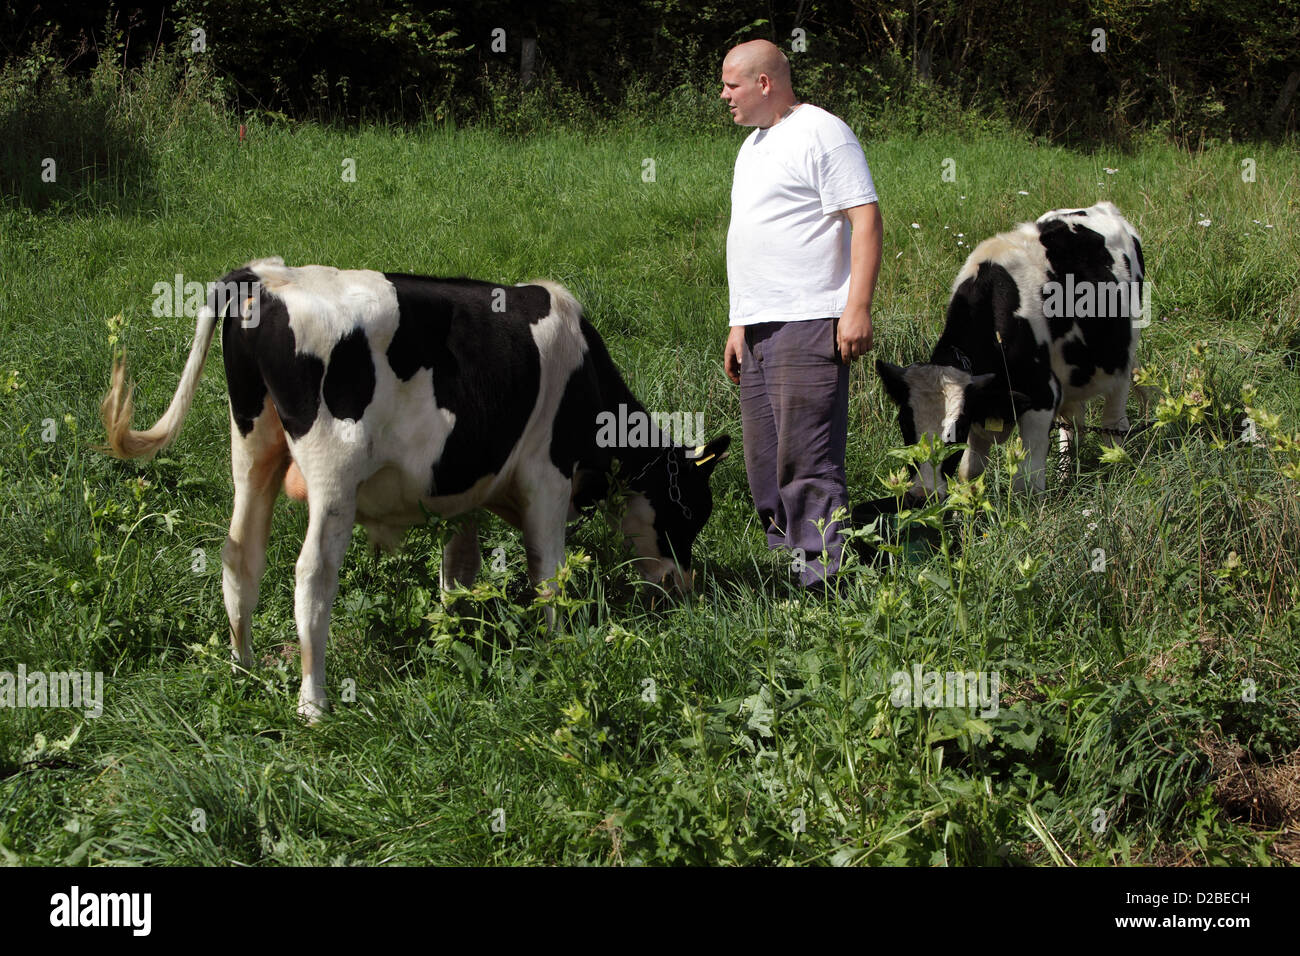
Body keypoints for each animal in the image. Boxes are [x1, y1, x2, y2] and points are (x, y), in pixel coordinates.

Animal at [98, 257, 733, 723]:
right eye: (689, 509)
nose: (681, 586)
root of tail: (265, 274)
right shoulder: (546, 474)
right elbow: (548, 570)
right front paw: (559, 646)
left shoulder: (461, 483)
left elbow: (460, 567)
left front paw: (454, 633)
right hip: (333, 474)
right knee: (312, 577)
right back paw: (313, 702)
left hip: (252, 447)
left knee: (240, 557)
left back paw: (243, 666)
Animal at [878, 202, 1144, 502]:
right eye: (906, 426)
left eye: (956, 432)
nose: (924, 494)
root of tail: (1101, 207)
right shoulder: (984, 401)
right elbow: (970, 471)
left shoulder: (1042, 396)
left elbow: (1026, 482)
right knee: (1071, 424)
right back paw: (1065, 476)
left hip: (1122, 358)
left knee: (1114, 421)